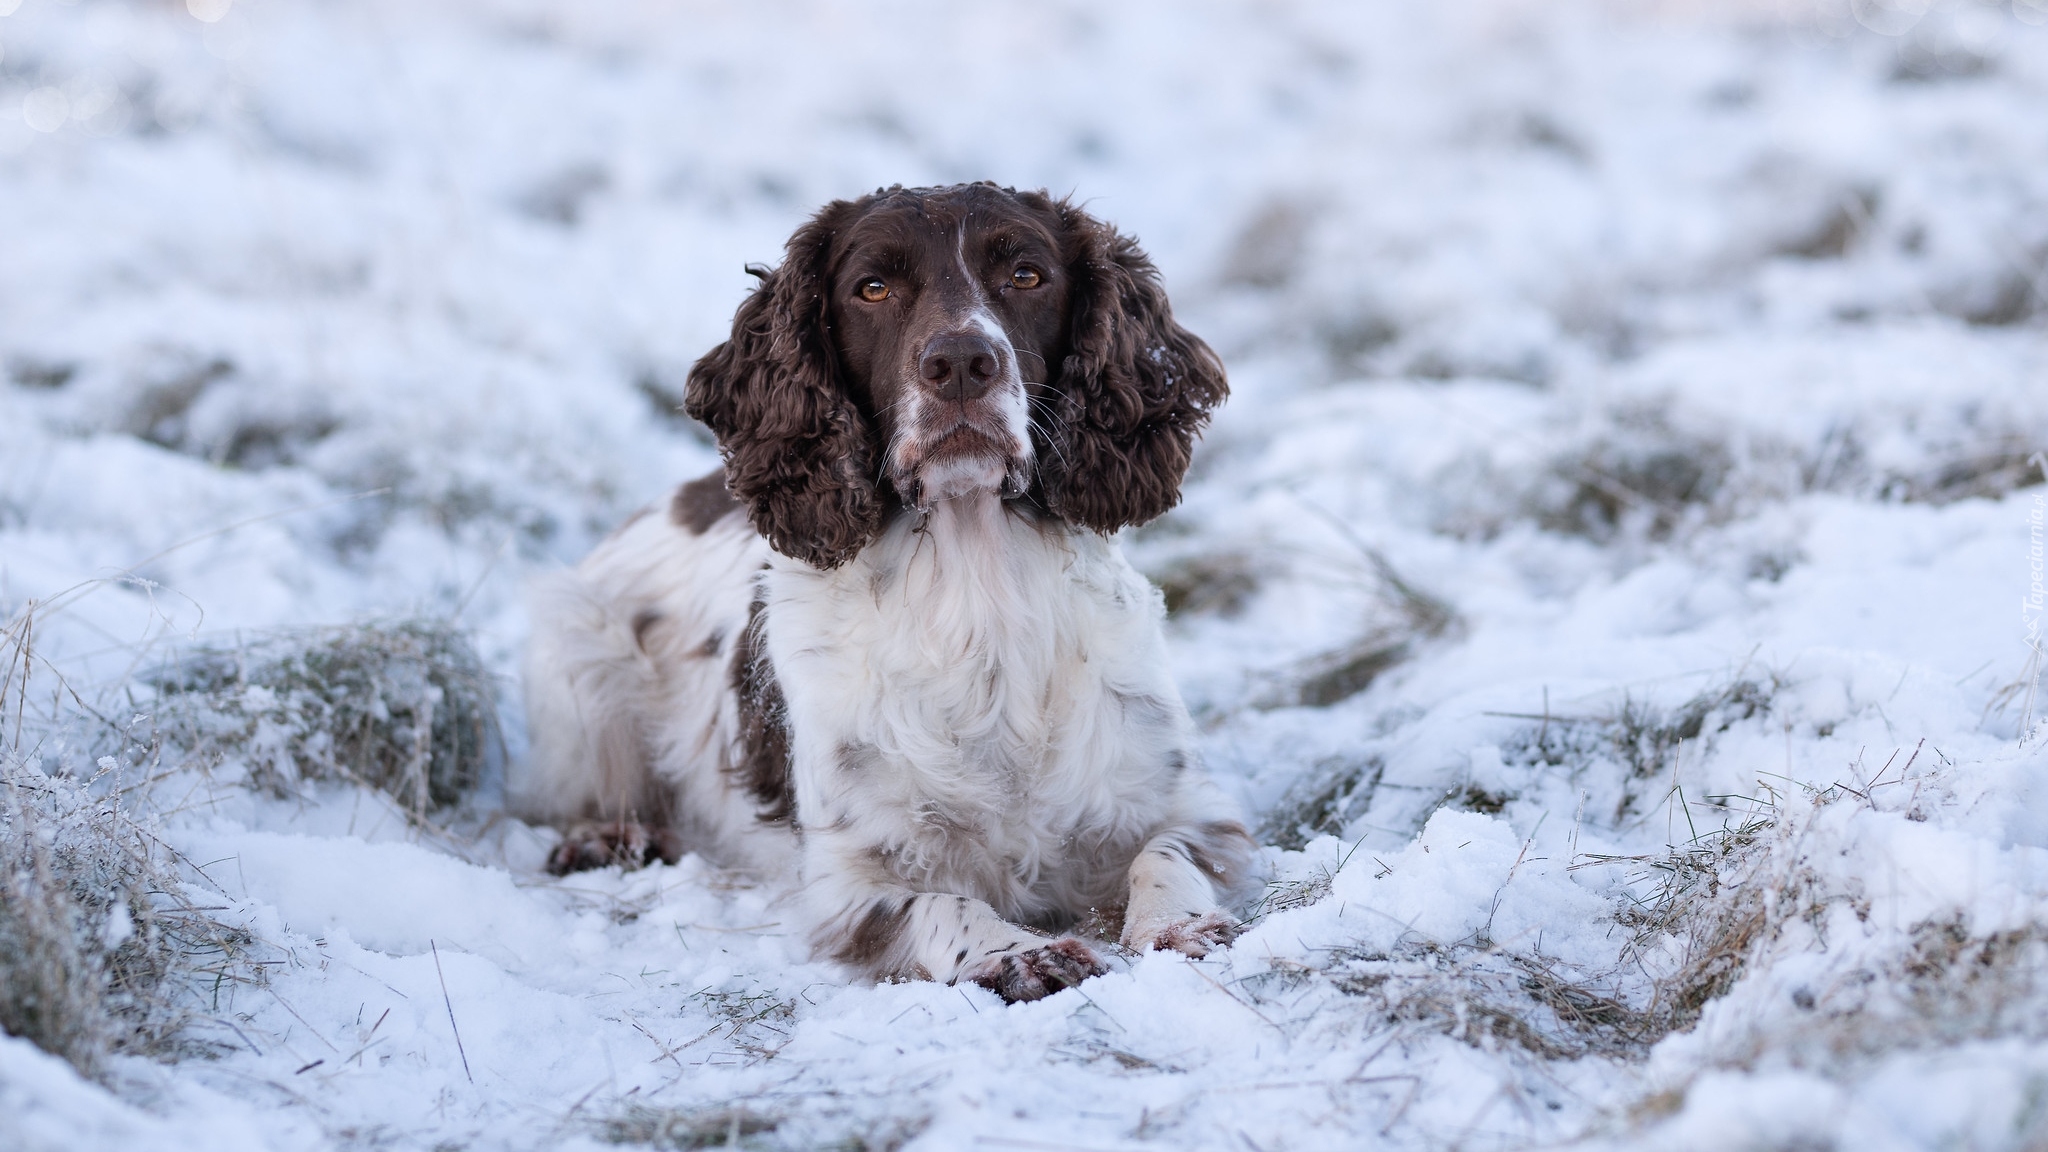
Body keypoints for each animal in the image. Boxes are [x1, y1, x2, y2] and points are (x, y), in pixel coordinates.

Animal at [516, 179, 1245, 996]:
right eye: (872, 288)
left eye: (1026, 275)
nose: (961, 361)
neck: (975, 584)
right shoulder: (850, 882)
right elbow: (945, 906)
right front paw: (1019, 952)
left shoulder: (1186, 804)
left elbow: (1166, 854)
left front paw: (1180, 926)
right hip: (577, 641)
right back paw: (608, 834)